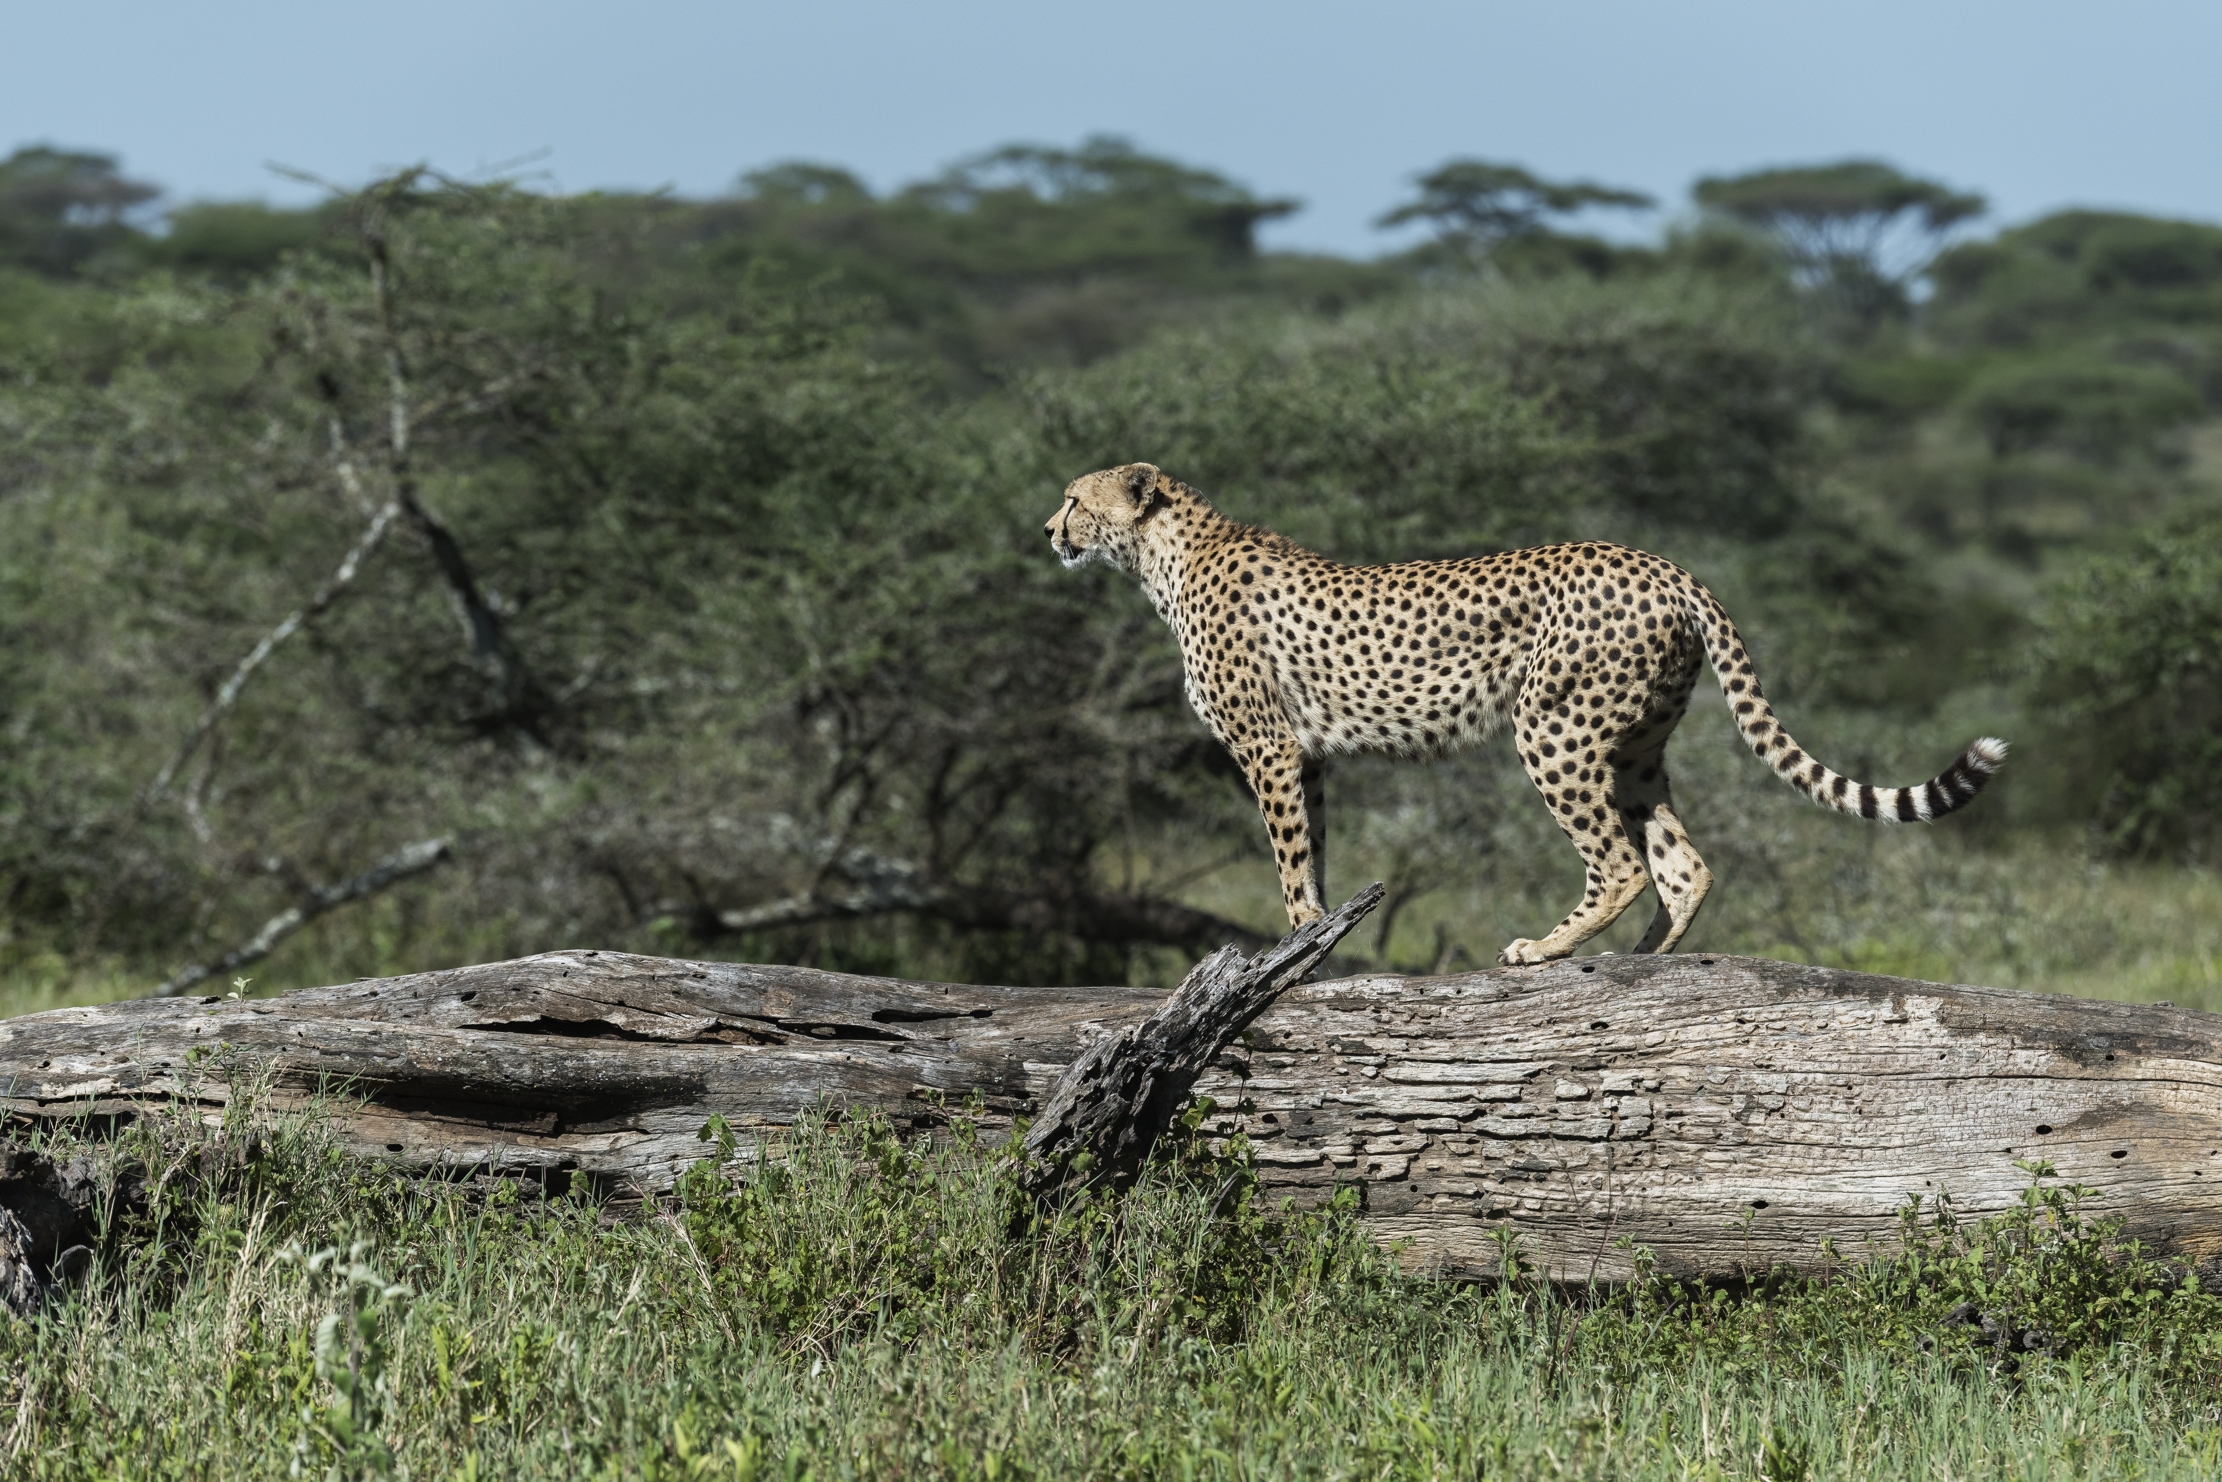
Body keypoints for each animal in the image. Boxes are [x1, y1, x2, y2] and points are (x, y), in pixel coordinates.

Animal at [1046, 462, 2008, 964]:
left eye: (1075, 498)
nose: (1049, 533)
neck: (1166, 555)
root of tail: (1661, 562)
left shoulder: (1269, 748)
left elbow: (1286, 859)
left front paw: (1299, 946)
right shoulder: (1306, 755)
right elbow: (1311, 849)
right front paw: (1317, 942)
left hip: (1552, 728)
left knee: (1620, 862)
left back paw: (1545, 949)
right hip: (1634, 745)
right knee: (1683, 862)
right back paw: (1644, 958)